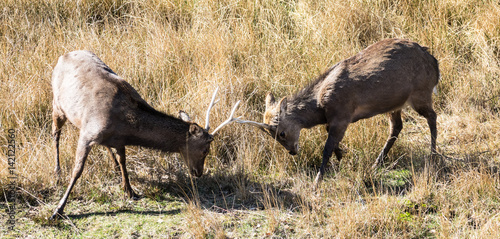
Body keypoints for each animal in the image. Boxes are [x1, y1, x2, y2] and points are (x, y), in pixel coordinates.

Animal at [50, 51, 240, 220]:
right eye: (205, 150)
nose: (199, 173)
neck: (126, 126)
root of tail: (62, 56)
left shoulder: (118, 140)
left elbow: (123, 162)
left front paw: (130, 191)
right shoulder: (88, 134)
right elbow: (77, 171)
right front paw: (58, 210)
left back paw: (113, 166)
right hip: (57, 106)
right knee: (56, 134)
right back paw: (57, 171)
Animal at [240, 39, 440, 188]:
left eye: (281, 132)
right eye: (270, 135)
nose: (292, 151)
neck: (321, 107)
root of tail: (435, 65)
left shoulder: (342, 116)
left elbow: (326, 148)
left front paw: (317, 182)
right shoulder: (334, 121)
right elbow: (330, 138)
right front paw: (341, 156)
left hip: (420, 93)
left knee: (432, 116)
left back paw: (433, 155)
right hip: (394, 104)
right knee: (397, 126)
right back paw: (377, 163)